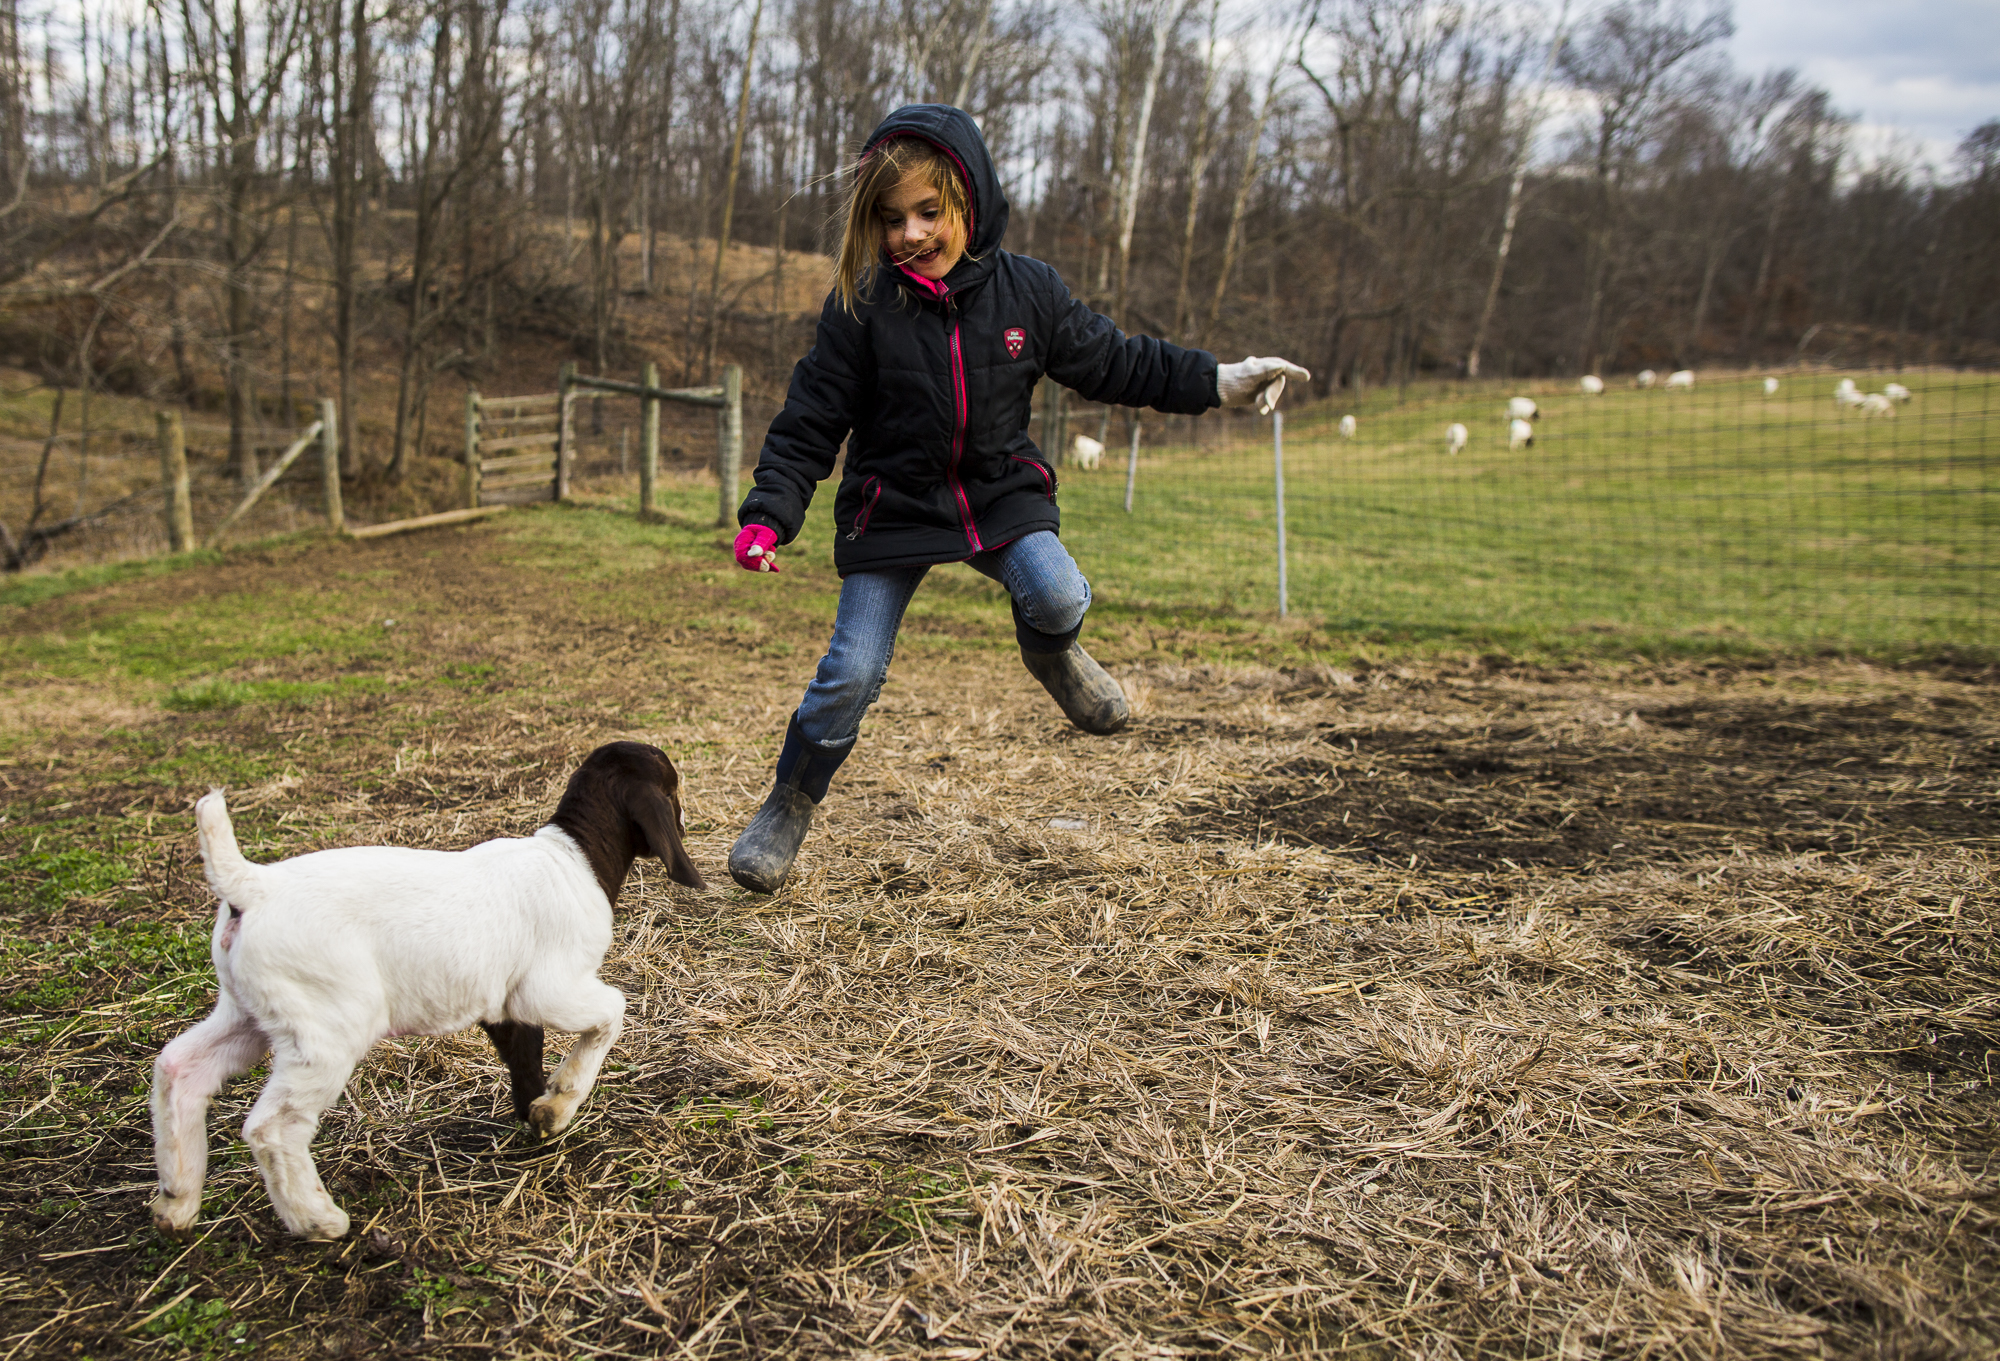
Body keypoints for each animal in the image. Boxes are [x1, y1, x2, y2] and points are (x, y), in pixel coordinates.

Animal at [146, 740, 704, 1240]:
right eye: (674, 786)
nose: (683, 825)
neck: (576, 856)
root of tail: (251, 886)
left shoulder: (503, 1006)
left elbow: (525, 1059)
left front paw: (536, 1120)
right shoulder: (546, 989)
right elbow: (612, 1010)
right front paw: (559, 1104)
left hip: (250, 1015)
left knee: (179, 1069)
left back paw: (176, 1202)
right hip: (325, 1030)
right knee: (272, 1128)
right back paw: (316, 1221)